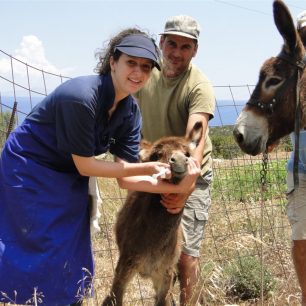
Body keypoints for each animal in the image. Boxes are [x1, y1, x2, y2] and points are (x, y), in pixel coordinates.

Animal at [101, 121, 204, 306]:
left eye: (187, 154)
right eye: (156, 155)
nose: (179, 160)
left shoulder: (164, 273)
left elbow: (163, 301)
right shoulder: (125, 266)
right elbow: (113, 299)